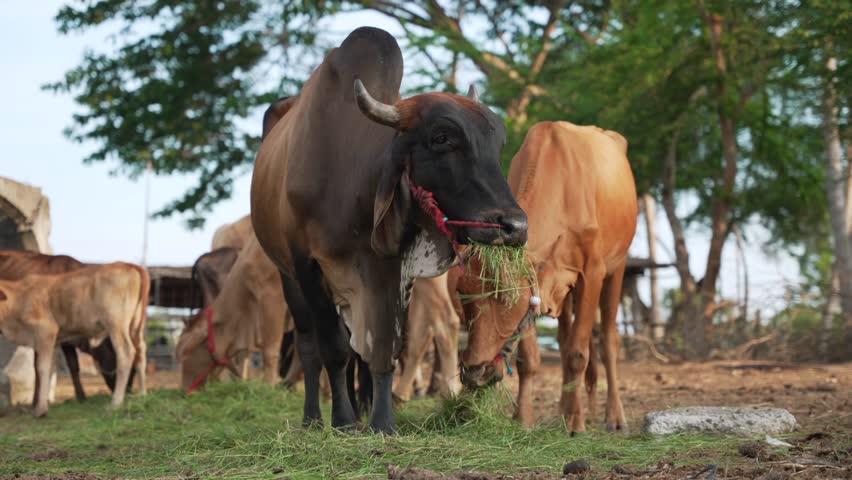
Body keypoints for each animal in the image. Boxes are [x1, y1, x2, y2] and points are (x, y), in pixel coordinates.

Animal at [0, 262, 149, 417]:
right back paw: (142, 394)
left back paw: (116, 403)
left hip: (115, 323)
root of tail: (128, 265)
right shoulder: (52, 341)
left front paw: (41, 409)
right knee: (140, 352)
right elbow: (49, 369)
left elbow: (42, 368)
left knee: (126, 353)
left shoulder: (45, 331)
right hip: (136, 325)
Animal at [251, 27, 527, 432]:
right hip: (288, 275)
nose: (514, 226)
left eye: (498, 144)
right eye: (442, 138)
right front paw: (344, 421)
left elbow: (385, 347)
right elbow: (333, 348)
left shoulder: (394, 271)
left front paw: (380, 420)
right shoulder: (308, 266)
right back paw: (315, 418)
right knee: (310, 346)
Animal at [459, 121, 638, 433]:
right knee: (565, 339)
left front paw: (577, 423)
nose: (473, 372)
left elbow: (579, 353)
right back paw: (564, 409)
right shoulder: (536, 283)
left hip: (617, 267)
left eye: (504, 296)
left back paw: (614, 417)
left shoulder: (592, 272)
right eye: (461, 292)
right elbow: (529, 358)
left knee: (607, 341)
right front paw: (523, 418)